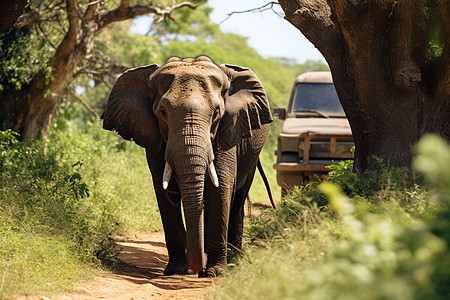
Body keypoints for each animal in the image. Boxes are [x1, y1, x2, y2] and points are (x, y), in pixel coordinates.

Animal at [101, 55, 270, 276]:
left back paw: (232, 262)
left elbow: (221, 189)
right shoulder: (156, 139)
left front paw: (215, 272)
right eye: (162, 112)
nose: (198, 269)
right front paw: (176, 270)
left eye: (217, 113)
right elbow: (165, 193)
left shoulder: (227, 130)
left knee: (237, 202)